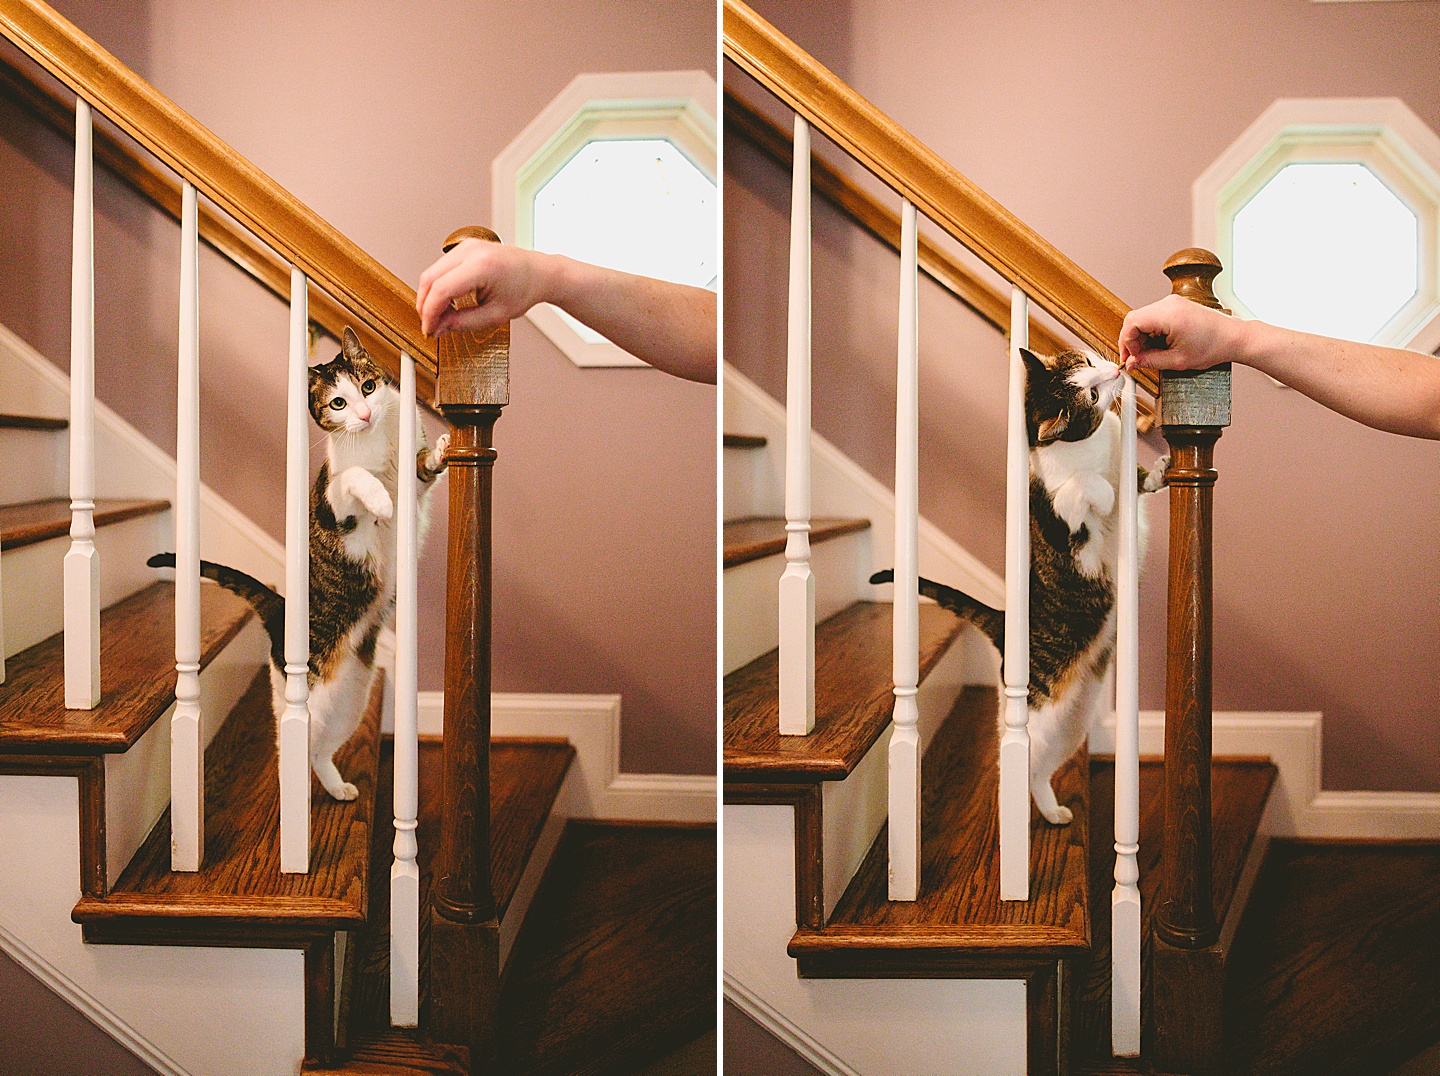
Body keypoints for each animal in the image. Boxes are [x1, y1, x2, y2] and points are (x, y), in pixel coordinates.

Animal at [148, 325, 443, 800]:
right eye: (337, 403)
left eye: (368, 387)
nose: (364, 415)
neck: (377, 443)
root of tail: (279, 609)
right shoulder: (336, 509)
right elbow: (352, 479)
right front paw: (381, 500)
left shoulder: (414, 484)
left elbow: (420, 468)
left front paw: (441, 449)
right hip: (303, 693)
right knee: (289, 749)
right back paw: (294, 801)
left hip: (351, 696)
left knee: (320, 748)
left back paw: (336, 788)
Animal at [869, 345, 1163, 823]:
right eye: (1092, 395)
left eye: (1088, 362)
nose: (1115, 370)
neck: (1090, 445)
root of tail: (1005, 622)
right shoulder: (1065, 528)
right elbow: (1083, 488)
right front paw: (1104, 495)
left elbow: (1135, 478)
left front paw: (1158, 470)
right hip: (1033, 713)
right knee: (1012, 766)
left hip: (1074, 720)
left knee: (1038, 769)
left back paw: (1053, 811)